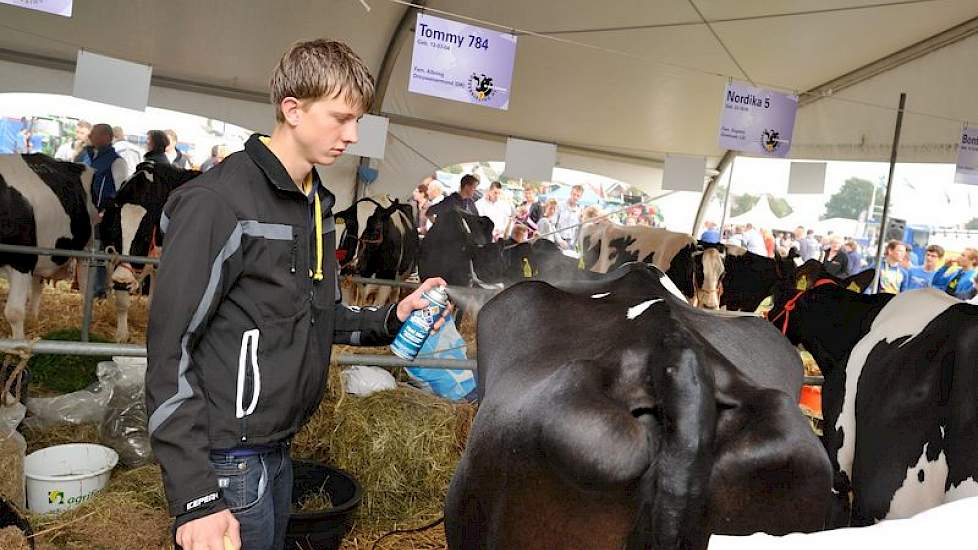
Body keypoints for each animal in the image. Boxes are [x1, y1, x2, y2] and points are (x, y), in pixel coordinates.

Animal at [0, 154, 96, 340]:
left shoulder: (23, 260)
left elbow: (14, 312)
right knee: (38, 284)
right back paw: (33, 318)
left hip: (87, 247)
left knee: (86, 285)